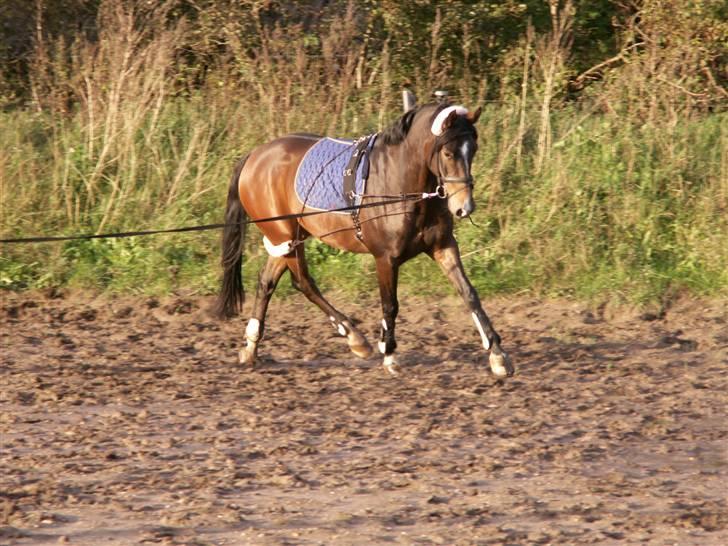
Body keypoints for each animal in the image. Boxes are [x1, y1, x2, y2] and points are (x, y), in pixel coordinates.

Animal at [213, 100, 516, 376]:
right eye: (449, 153)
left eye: (473, 150)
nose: (465, 207)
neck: (400, 185)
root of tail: (254, 155)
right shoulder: (385, 258)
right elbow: (390, 305)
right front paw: (390, 355)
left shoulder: (443, 247)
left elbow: (469, 294)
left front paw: (498, 356)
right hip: (284, 235)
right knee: (303, 282)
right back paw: (355, 338)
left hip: (289, 237)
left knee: (268, 282)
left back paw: (251, 347)